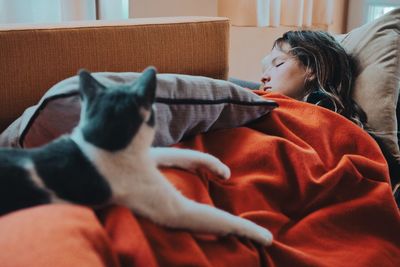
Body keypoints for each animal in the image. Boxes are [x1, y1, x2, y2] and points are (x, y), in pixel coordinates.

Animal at [0, 68, 272, 247]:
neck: (100, 140)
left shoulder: (146, 155)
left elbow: (178, 151)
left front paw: (218, 166)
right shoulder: (174, 209)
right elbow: (218, 217)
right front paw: (261, 233)